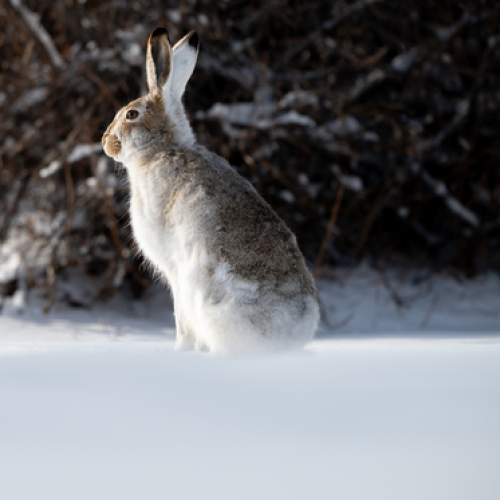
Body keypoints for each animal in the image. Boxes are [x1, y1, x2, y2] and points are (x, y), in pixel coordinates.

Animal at [102, 27, 319, 354]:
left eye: (131, 115)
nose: (105, 141)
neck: (163, 149)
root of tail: (285, 339)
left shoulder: (175, 271)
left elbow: (181, 319)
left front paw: (181, 351)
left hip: (205, 293)